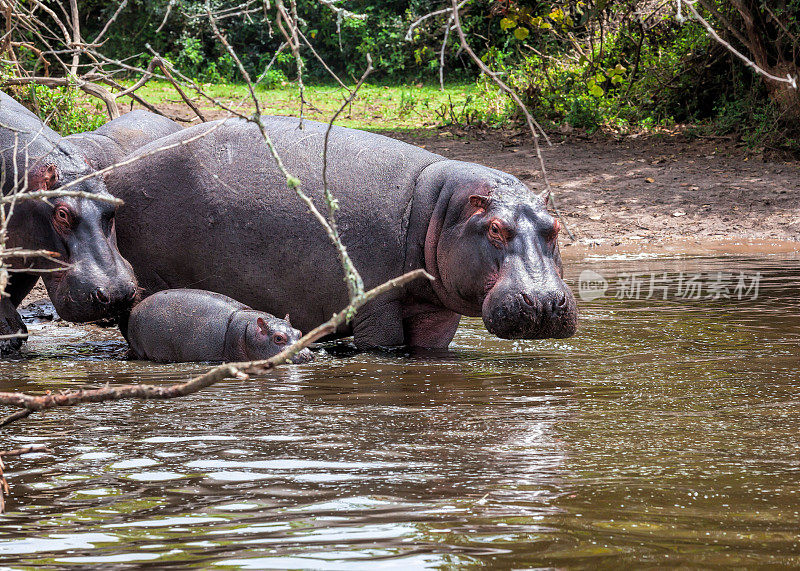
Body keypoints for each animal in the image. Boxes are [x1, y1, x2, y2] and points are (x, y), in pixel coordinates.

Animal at [109, 117, 580, 348]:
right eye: (496, 228)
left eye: (556, 227)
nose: (544, 302)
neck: (443, 211)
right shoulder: (375, 304)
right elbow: (384, 345)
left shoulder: (436, 311)